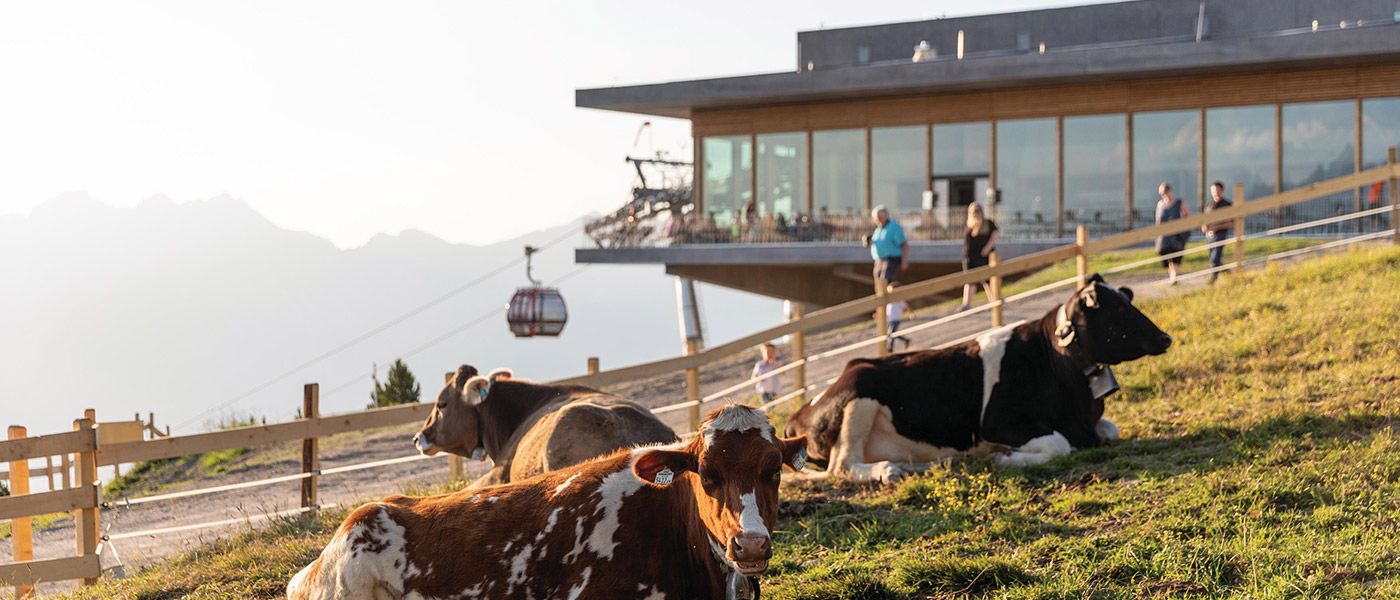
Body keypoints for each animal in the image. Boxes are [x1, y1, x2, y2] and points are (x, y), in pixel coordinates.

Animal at [789, 272, 1170, 481]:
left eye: (1128, 301)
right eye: (1118, 310)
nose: (1165, 337)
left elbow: (1110, 430)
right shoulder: (999, 423)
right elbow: (1060, 445)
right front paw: (1004, 458)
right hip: (860, 391)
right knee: (841, 465)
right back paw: (886, 471)